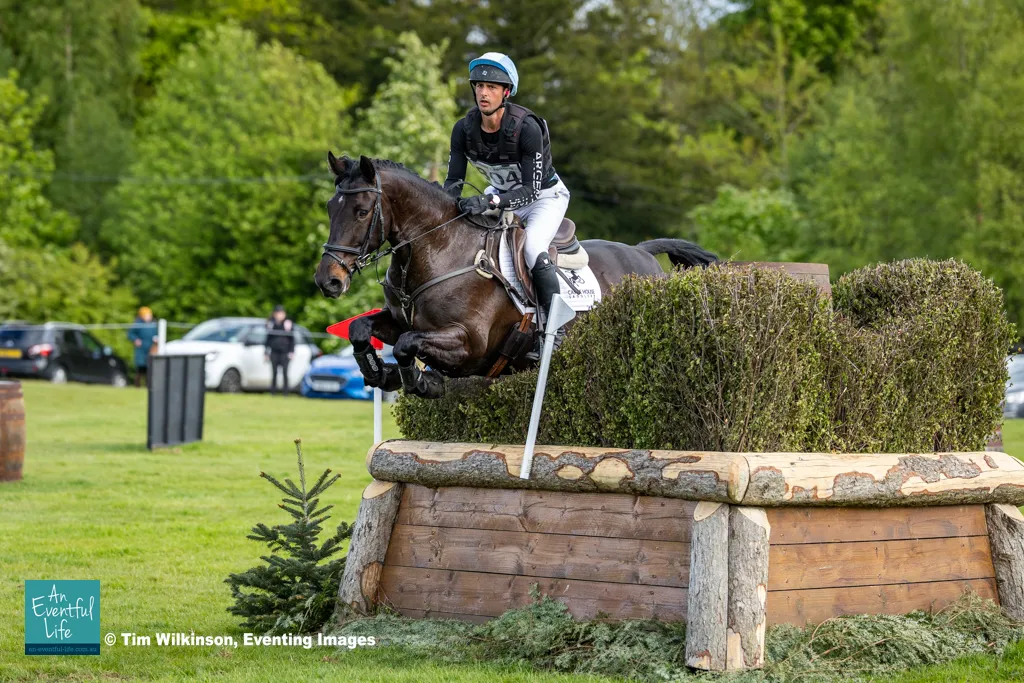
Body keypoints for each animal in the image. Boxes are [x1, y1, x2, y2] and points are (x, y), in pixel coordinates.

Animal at [313, 154, 717, 399]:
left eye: (362, 211)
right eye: (330, 208)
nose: (327, 280)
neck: (439, 249)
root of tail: (643, 253)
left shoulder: (469, 344)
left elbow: (406, 344)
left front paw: (418, 380)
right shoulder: (400, 321)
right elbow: (362, 328)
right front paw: (377, 373)